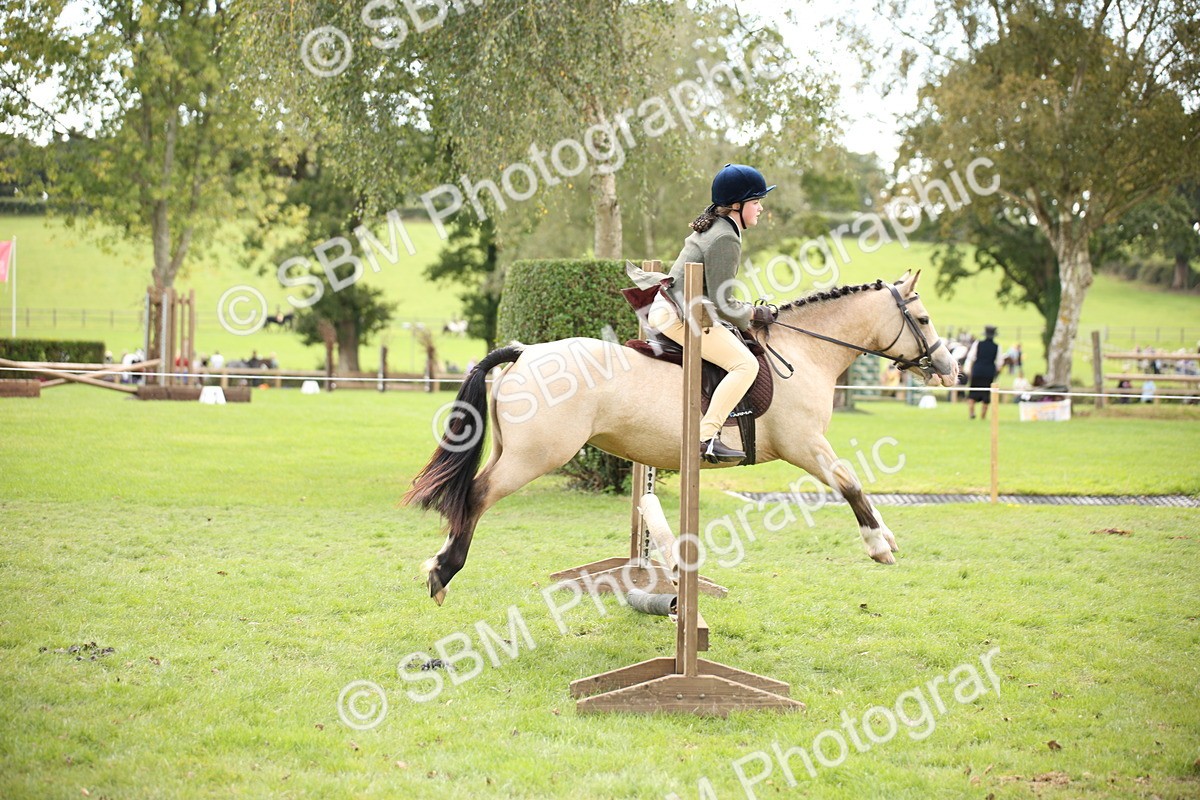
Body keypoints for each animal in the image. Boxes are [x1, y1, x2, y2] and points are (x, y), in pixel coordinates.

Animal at [405, 271, 959, 605]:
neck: (805, 352)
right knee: (477, 496)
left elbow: (852, 481)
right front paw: (879, 544)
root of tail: (524, 351)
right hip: (535, 457)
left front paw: (886, 536)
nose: (949, 369)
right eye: (924, 318)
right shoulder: (804, 446)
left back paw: (438, 565)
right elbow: (849, 482)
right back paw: (442, 571)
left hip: (511, 450)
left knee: (468, 496)